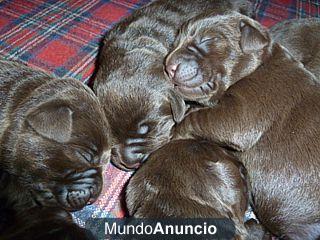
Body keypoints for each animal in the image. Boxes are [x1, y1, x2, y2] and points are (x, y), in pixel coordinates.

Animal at [168, 11, 320, 240]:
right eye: (174, 43)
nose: (168, 66)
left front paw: (172, 133)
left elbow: (197, 118)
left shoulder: (243, 113)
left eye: (207, 39)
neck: (258, 66)